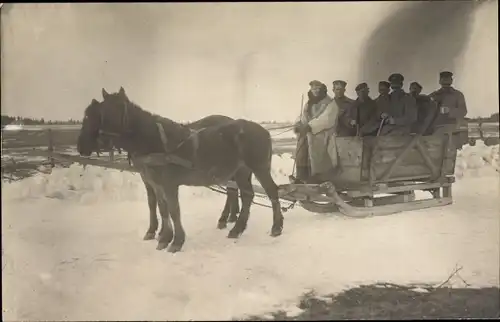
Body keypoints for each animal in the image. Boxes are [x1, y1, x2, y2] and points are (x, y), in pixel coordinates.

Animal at [76, 87, 284, 253]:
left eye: (107, 113)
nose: (81, 147)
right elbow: (161, 207)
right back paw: (236, 228)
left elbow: (173, 210)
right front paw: (163, 236)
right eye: (101, 112)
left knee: (271, 192)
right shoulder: (155, 182)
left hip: (259, 168)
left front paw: (175, 241)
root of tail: (264, 131)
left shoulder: (169, 184)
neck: (156, 142)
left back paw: (276, 227)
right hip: (240, 171)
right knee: (246, 195)